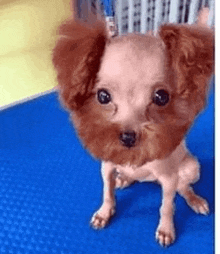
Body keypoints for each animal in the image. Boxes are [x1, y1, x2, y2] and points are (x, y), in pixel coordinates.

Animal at [52, 9, 214, 246]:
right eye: (103, 96)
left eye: (161, 97)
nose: (128, 137)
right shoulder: (106, 168)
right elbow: (107, 193)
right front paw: (105, 212)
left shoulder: (168, 180)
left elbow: (167, 207)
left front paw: (166, 229)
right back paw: (125, 178)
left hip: (190, 168)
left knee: (183, 188)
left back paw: (195, 199)